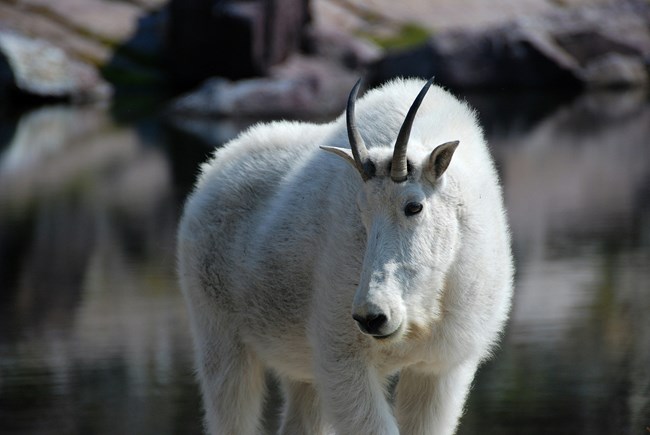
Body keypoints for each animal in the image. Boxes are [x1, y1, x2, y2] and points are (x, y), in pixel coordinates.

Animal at [177, 77, 514, 435]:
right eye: (361, 211)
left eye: (414, 206)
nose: (372, 316)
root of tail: (210, 172)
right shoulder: (342, 358)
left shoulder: (439, 368)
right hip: (218, 333)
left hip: (298, 366)